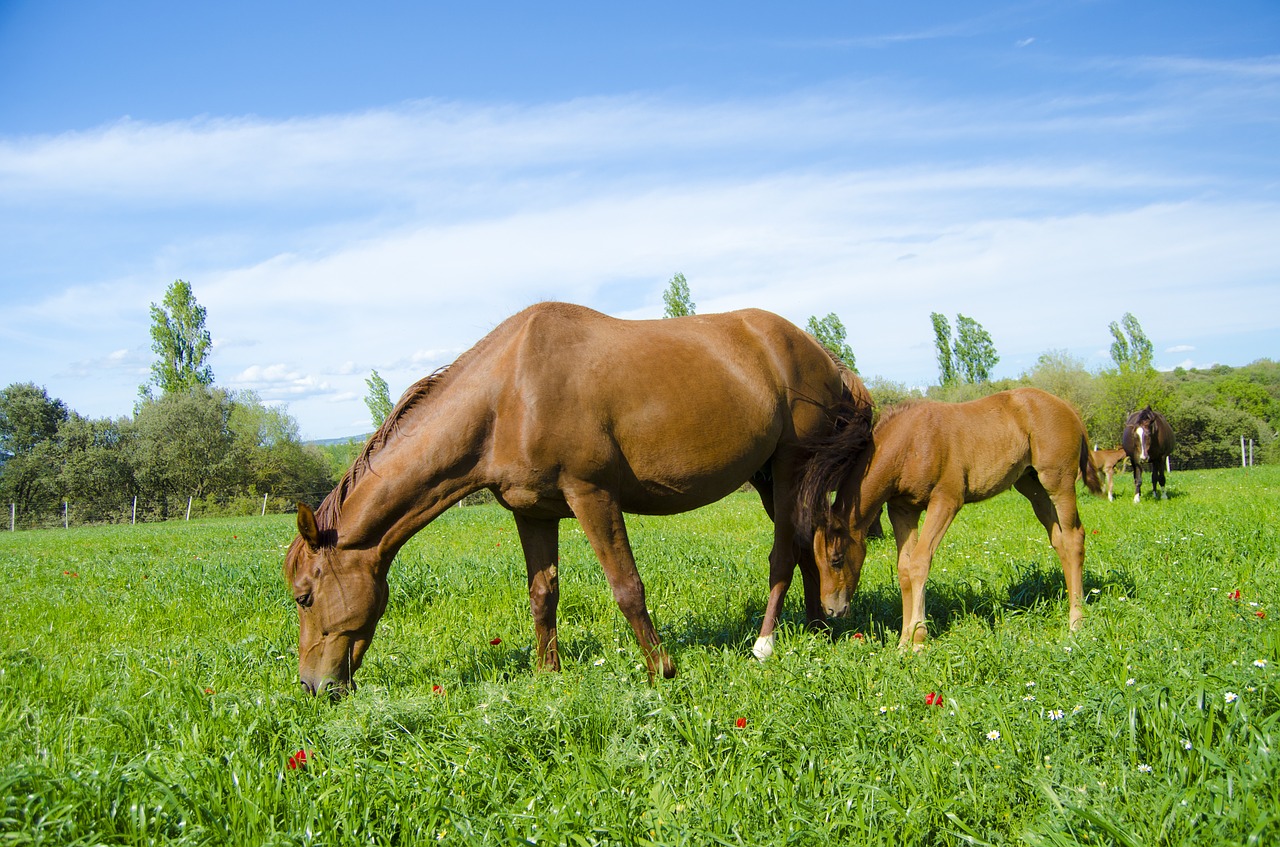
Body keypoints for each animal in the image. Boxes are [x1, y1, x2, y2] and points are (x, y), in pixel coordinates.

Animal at [285, 303, 875, 696]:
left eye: (304, 597)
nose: (314, 687)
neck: (509, 393)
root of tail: (826, 358)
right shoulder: (533, 513)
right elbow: (542, 594)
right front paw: (548, 675)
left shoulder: (592, 495)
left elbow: (627, 586)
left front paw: (661, 669)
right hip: (771, 477)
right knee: (807, 543)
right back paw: (817, 626)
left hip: (792, 464)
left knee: (784, 552)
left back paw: (765, 644)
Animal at [798, 388, 1100, 652]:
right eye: (816, 561)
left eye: (836, 559)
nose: (832, 609)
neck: (912, 443)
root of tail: (1068, 408)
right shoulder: (902, 510)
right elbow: (904, 569)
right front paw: (903, 642)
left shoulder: (946, 501)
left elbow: (920, 562)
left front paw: (918, 640)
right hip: (1032, 486)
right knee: (1059, 540)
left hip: (1058, 482)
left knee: (1073, 538)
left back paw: (1076, 622)